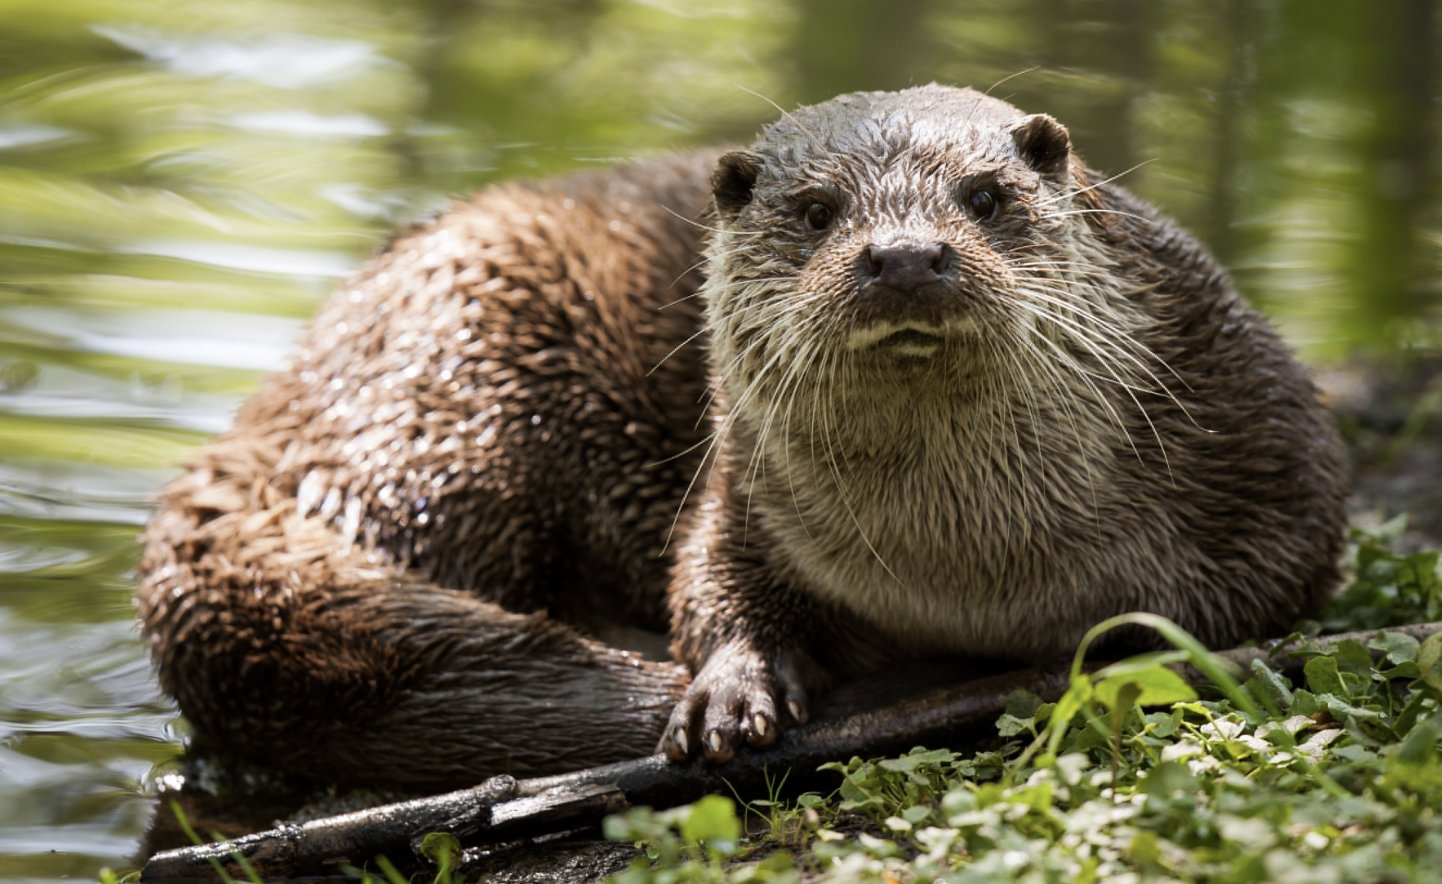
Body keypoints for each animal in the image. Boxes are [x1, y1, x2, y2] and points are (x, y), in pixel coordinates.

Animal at [135, 84, 1349, 784]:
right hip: (458, 387)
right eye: (815, 211)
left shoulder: (1266, 436)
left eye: (986, 195)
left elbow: (1267, 581)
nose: (904, 256)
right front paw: (731, 687)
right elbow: (707, 582)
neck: (968, 571)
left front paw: (1103, 646)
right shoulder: (738, 494)